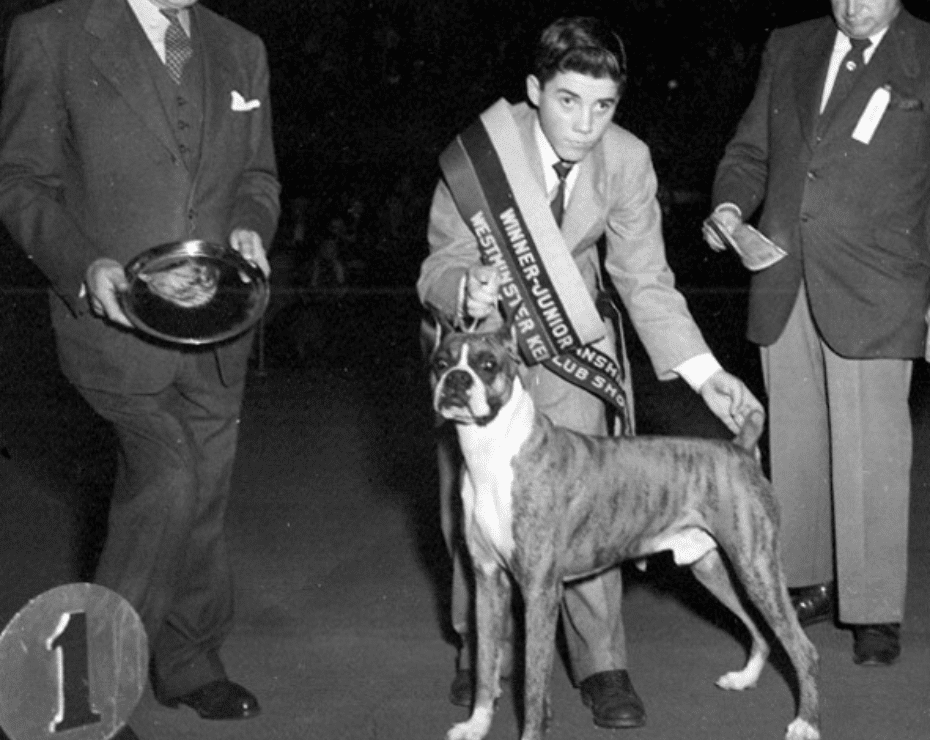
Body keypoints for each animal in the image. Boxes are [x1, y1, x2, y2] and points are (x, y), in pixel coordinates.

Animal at [432, 322, 816, 740]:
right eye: (441, 363)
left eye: (487, 365)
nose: (457, 380)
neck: (492, 452)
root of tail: (740, 449)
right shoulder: (488, 582)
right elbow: (486, 665)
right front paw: (476, 725)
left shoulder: (538, 590)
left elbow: (533, 683)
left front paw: (531, 732)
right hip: (713, 569)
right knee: (758, 627)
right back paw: (745, 678)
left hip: (755, 566)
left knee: (802, 647)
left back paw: (806, 723)